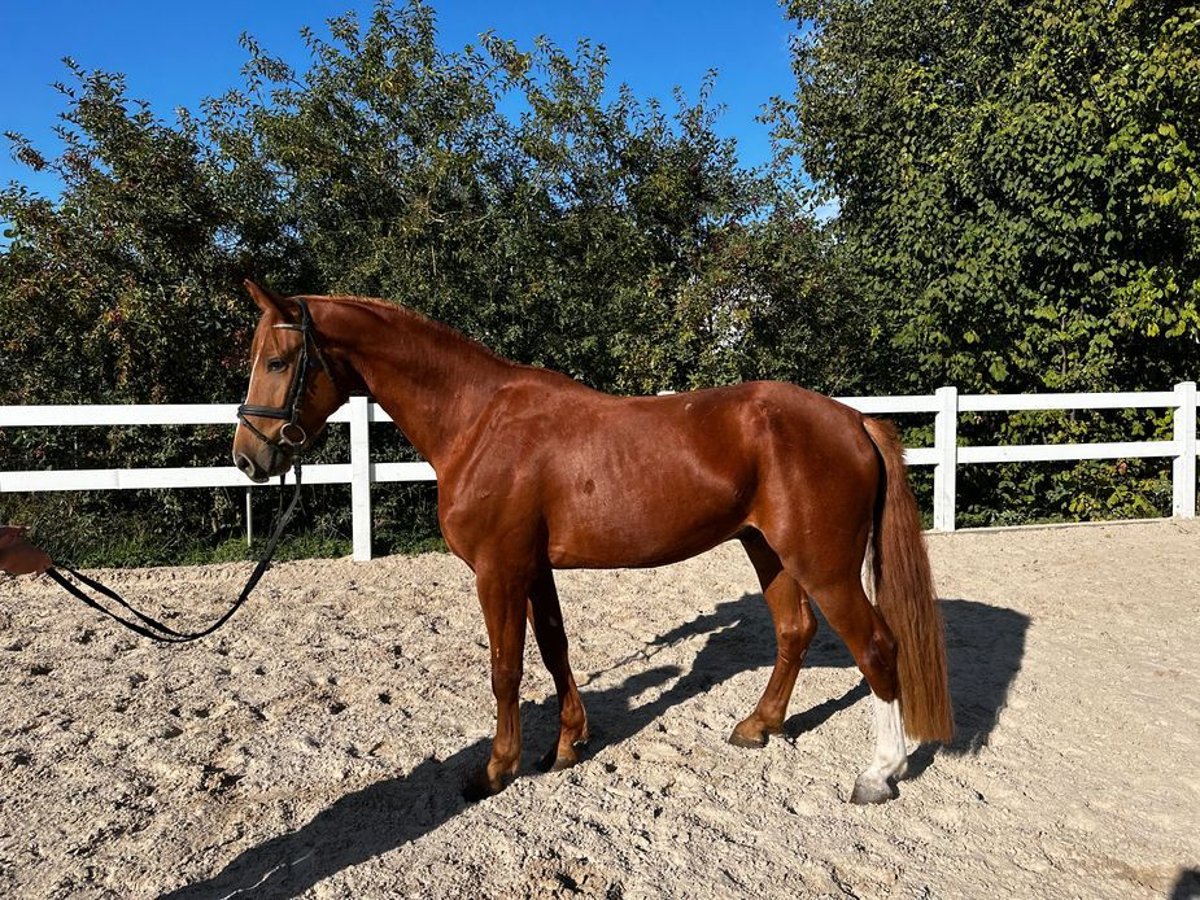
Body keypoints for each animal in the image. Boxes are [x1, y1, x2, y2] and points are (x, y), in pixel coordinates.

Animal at [229, 280, 950, 801]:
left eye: (277, 361)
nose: (247, 457)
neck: (478, 420)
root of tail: (852, 420)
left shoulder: (498, 569)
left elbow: (506, 668)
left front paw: (496, 769)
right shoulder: (532, 567)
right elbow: (554, 650)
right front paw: (568, 744)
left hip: (822, 564)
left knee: (876, 647)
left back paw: (878, 774)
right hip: (766, 549)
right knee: (794, 630)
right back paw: (758, 726)